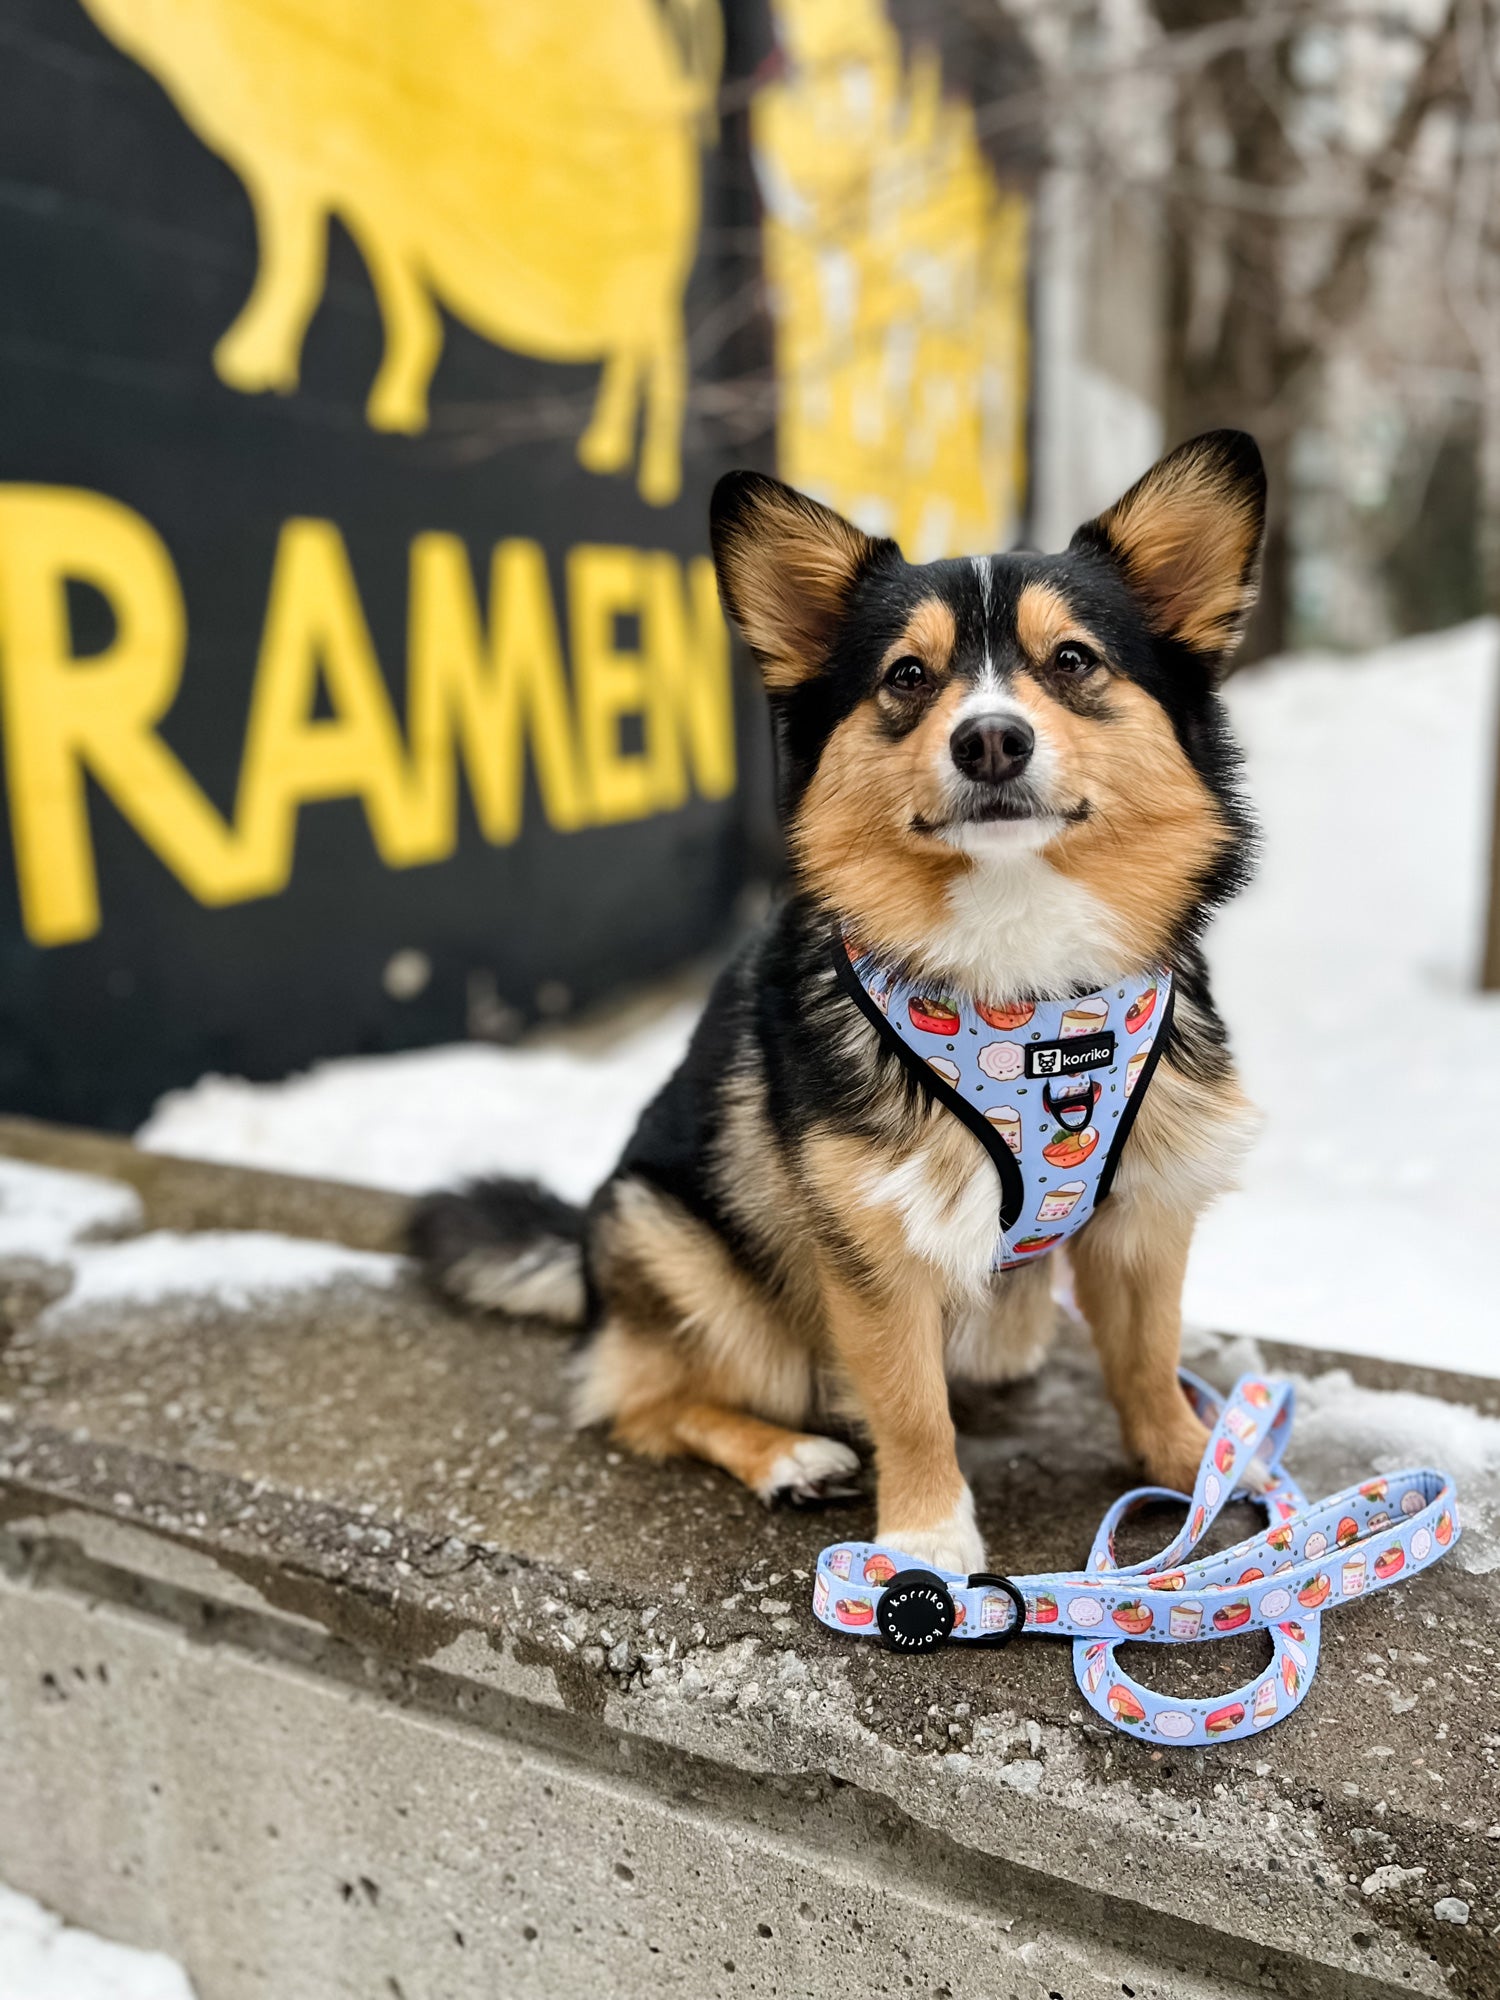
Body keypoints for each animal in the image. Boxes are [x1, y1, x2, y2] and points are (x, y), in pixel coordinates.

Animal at [420, 434, 1272, 1576]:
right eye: (907, 676)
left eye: (1073, 660)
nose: (990, 740)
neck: (1022, 989)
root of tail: (595, 1281)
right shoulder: (872, 1241)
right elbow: (908, 1401)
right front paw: (925, 1537)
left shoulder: (1144, 1207)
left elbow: (1145, 1353)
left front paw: (1192, 1464)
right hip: (674, 1244)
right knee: (643, 1401)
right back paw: (787, 1455)